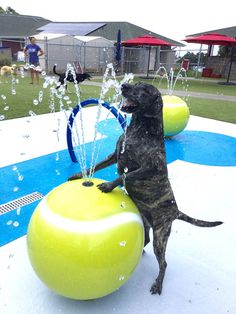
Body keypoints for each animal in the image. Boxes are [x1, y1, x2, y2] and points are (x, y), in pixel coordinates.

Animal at [68, 81, 223, 294]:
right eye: (135, 84)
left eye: (146, 90)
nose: (124, 85)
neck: (141, 130)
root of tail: (175, 211)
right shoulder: (114, 155)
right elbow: (98, 165)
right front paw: (78, 175)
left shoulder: (148, 168)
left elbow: (124, 175)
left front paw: (108, 185)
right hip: (146, 222)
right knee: (146, 240)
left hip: (160, 235)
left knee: (163, 262)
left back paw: (158, 284)